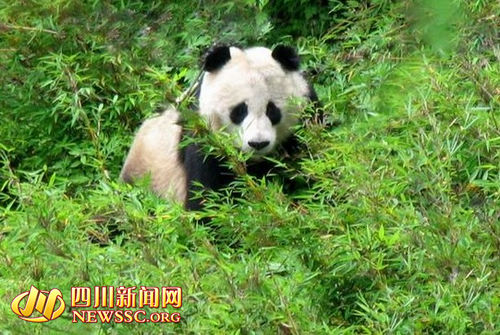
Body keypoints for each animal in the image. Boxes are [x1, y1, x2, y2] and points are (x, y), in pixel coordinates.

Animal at [121, 44, 320, 210]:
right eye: (239, 111)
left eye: (272, 110)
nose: (258, 143)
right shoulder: (206, 140)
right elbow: (207, 199)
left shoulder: (306, 120)